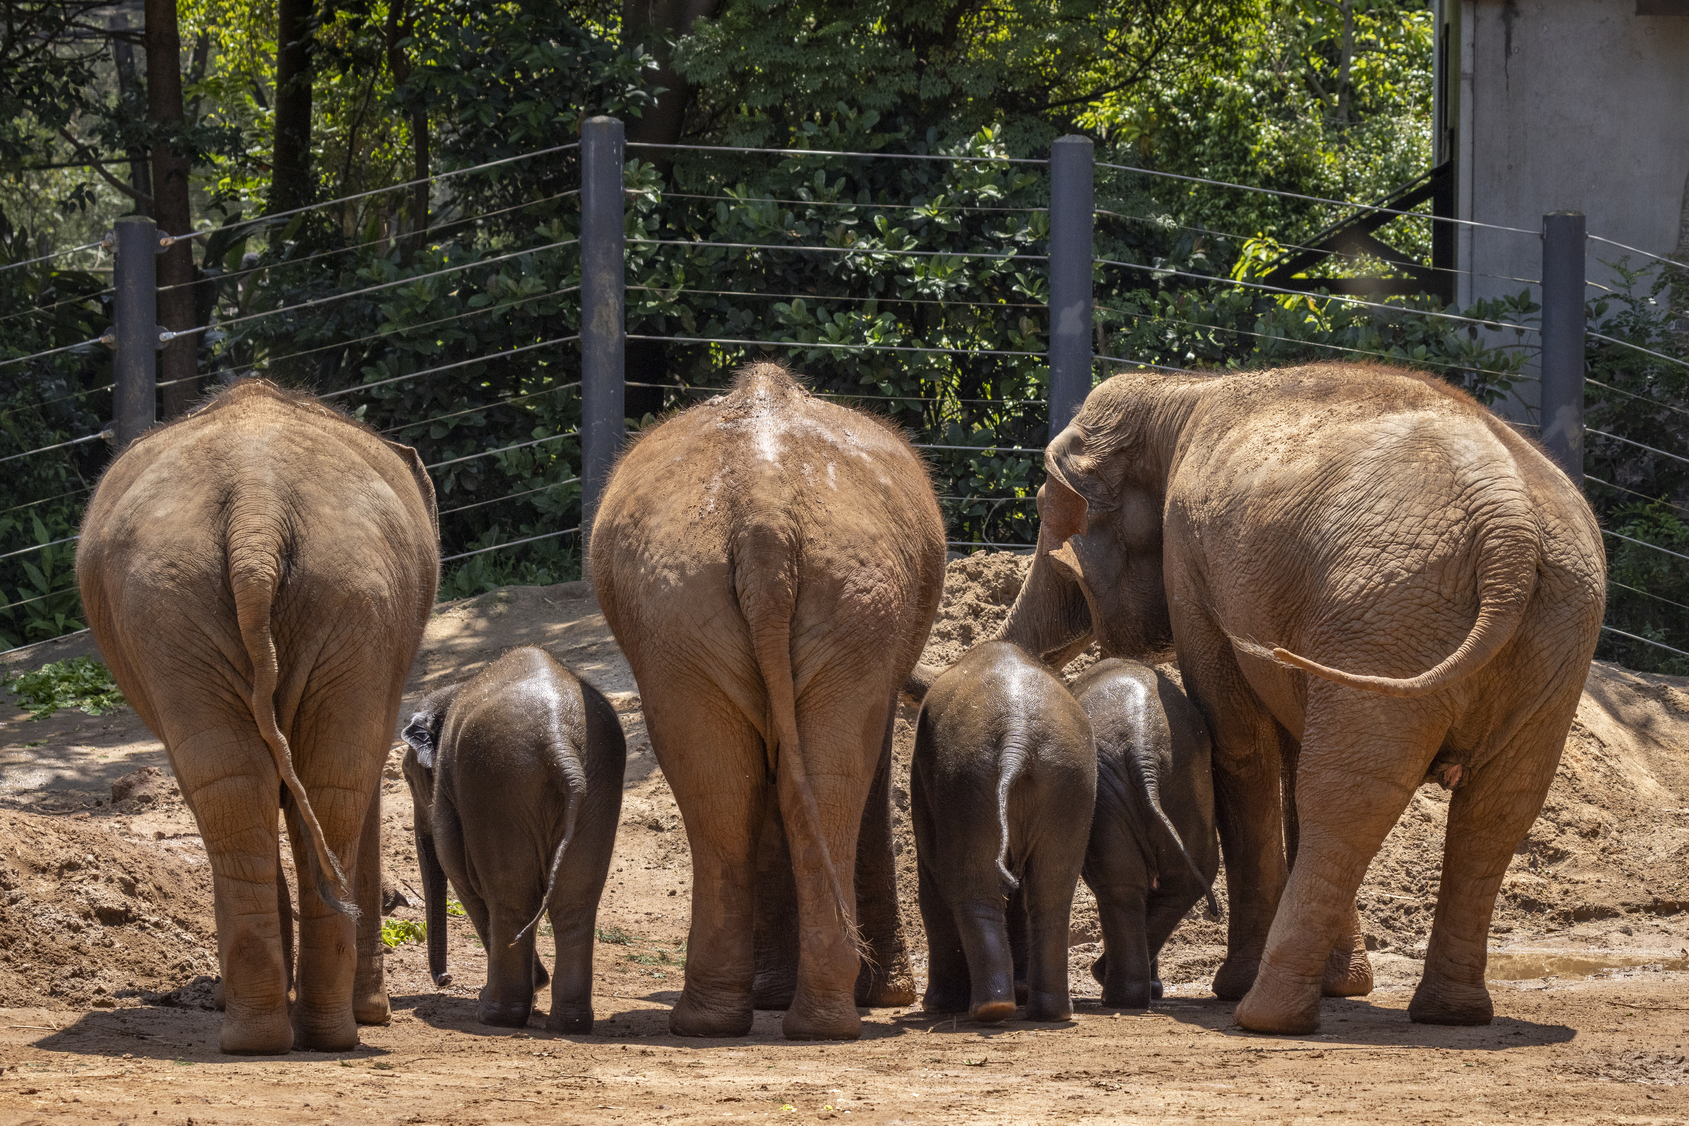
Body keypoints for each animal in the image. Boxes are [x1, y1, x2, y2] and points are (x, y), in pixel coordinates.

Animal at [77, 379, 439, 1054]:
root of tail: (256, 513)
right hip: (306, 598)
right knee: (291, 783)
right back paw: (292, 1034)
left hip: (298, 599)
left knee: (263, 783)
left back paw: (287, 1034)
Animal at [399, 646, 625, 1033]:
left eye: (407, 776)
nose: (444, 979)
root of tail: (559, 740)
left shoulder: (450, 789)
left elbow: (457, 868)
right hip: (598, 780)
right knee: (576, 900)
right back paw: (569, 1023)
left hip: (497, 781)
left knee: (510, 895)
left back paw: (494, 1014)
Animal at [591, 361, 946, 1040]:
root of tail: (765, 517)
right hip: (765, 607)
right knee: (779, 783)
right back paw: (789, 1017)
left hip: (721, 607)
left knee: (739, 783)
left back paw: (753, 1019)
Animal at [907, 640, 1096, 1023]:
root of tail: (1017, 737)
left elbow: (932, 881)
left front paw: (937, 1006)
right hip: (1066, 780)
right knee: (1051, 893)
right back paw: (1048, 1012)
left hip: (967, 782)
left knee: (972, 887)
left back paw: (989, 1009)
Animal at [1069, 658, 1219, 1010]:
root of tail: (1143, 752)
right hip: (1187, 787)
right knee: (1178, 883)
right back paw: (1126, 993)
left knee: (1120, 883)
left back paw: (1113, 991)